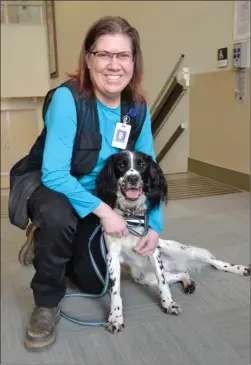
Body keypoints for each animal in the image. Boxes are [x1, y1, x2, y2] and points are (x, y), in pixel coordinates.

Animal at [95, 150, 249, 332]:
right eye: (121, 165)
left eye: (142, 165)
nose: (133, 178)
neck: (131, 216)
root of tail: (177, 263)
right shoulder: (112, 256)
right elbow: (115, 291)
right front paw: (115, 317)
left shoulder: (153, 251)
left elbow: (163, 283)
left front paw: (168, 303)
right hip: (144, 278)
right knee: (183, 273)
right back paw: (188, 282)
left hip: (182, 249)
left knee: (215, 263)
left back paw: (238, 268)